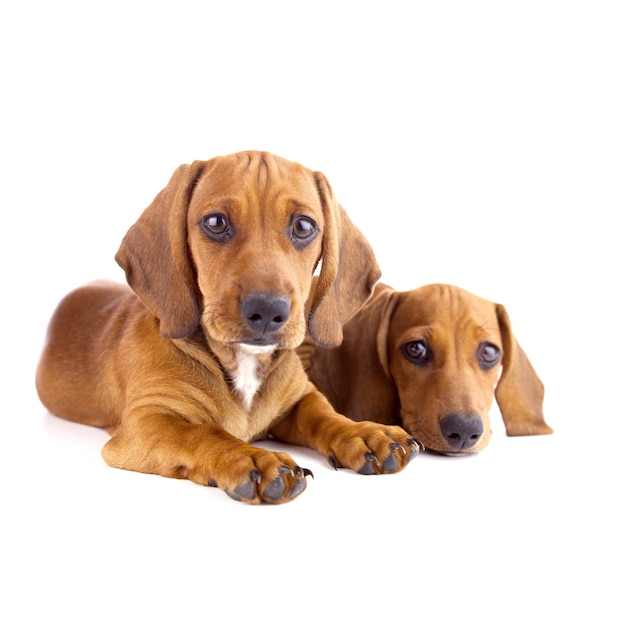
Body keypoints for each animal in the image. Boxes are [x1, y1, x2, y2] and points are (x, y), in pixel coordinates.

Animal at [35, 151, 418, 502]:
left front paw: (364, 433)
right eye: (216, 222)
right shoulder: (146, 422)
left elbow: (324, 414)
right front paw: (251, 458)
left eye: (304, 227)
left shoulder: (301, 397)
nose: (267, 310)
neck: (241, 361)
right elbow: (203, 433)